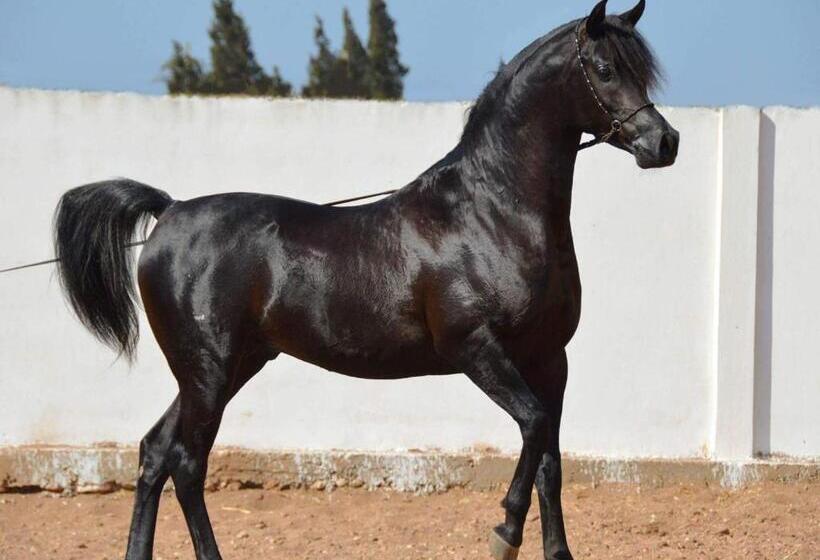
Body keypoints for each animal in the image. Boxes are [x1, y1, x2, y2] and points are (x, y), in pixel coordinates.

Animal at [52, 1, 678, 558]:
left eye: (640, 70)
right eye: (605, 69)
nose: (664, 142)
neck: (491, 212)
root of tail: (171, 210)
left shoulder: (550, 359)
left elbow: (550, 459)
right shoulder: (476, 349)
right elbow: (533, 426)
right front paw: (503, 533)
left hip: (227, 368)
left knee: (155, 453)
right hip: (207, 371)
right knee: (186, 463)